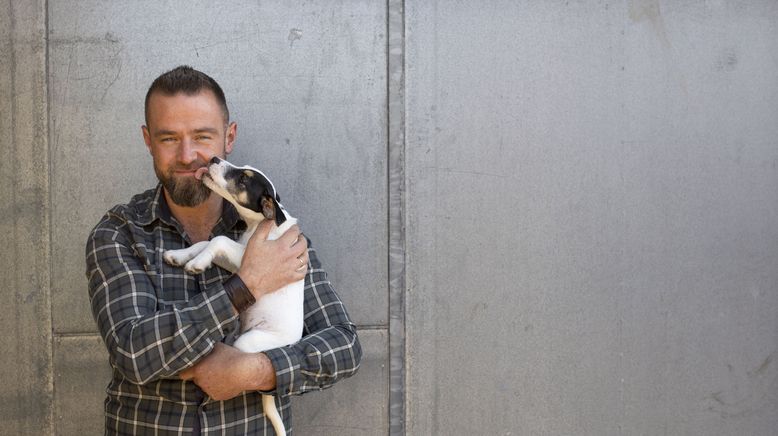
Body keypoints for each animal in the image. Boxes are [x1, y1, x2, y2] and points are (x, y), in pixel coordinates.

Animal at [163, 157, 304, 436]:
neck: (260, 224)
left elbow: (217, 240)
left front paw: (196, 263)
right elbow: (204, 244)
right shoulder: (238, 262)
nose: (214, 159)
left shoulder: (249, 256)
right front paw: (180, 256)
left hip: (250, 344)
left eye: (243, 179)